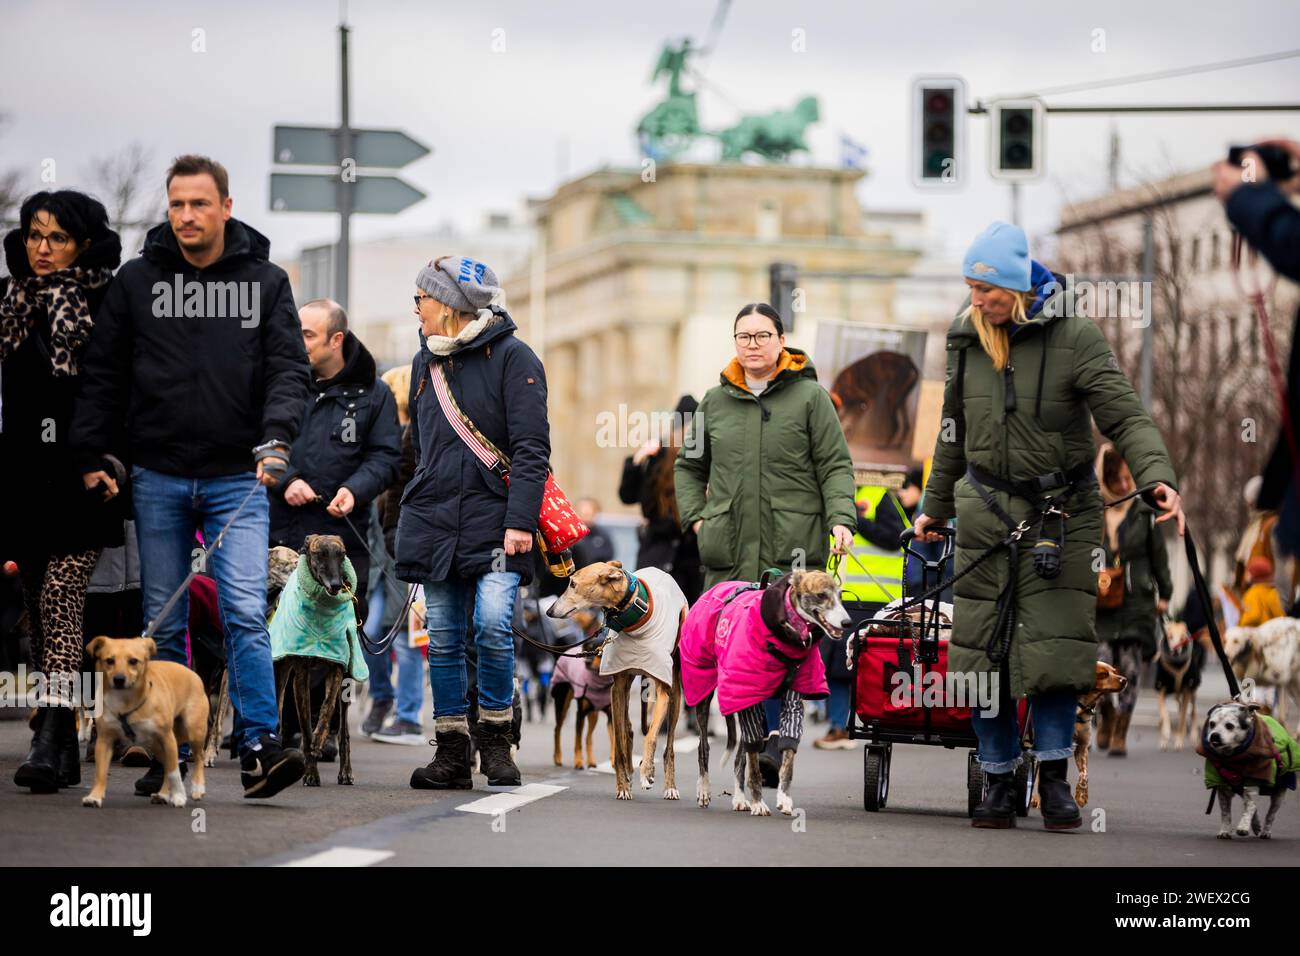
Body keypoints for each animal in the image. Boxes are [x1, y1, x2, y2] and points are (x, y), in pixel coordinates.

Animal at [81, 634, 208, 806]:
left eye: (133, 661)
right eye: (109, 660)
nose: (119, 679)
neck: (126, 702)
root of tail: (193, 673)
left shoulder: (167, 738)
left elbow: (174, 772)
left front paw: (179, 796)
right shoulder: (105, 740)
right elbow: (100, 772)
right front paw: (94, 797)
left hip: (194, 731)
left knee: (198, 758)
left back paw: (197, 788)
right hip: (156, 746)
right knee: (166, 767)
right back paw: (163, 794)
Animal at [1034, 660, 1128, 811]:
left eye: (1114, 670)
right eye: (1103, 674)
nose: (1124, 680)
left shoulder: (1082, 748)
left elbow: (1084, 774)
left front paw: (1081, 796)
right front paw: (1035, 798)